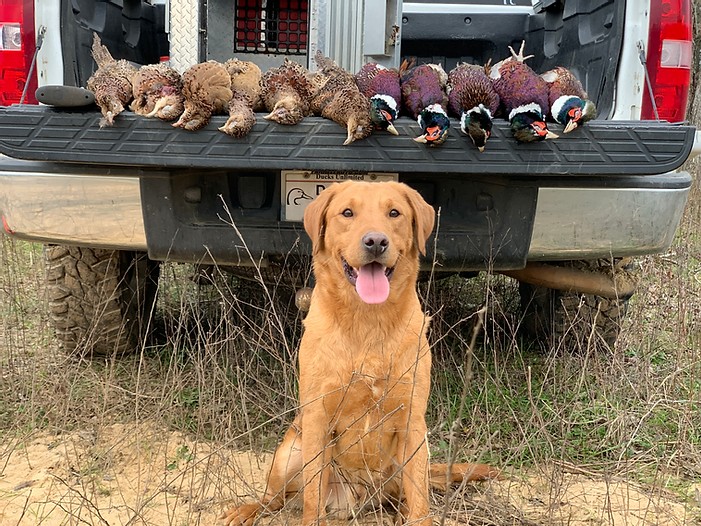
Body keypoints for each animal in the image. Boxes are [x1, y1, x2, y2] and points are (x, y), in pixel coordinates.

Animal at [221, 183, 494, 526]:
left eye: (394, 213)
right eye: (347, 212)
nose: (376, 242)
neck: (368, 320)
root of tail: (357, 498)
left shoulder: (412, 422)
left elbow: (420, 499)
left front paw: (418, 517)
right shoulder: (318, 418)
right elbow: (312, 498)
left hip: (404, 460)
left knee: (406, 494)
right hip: (289, 453)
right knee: (275, 499)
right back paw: (247, 510)